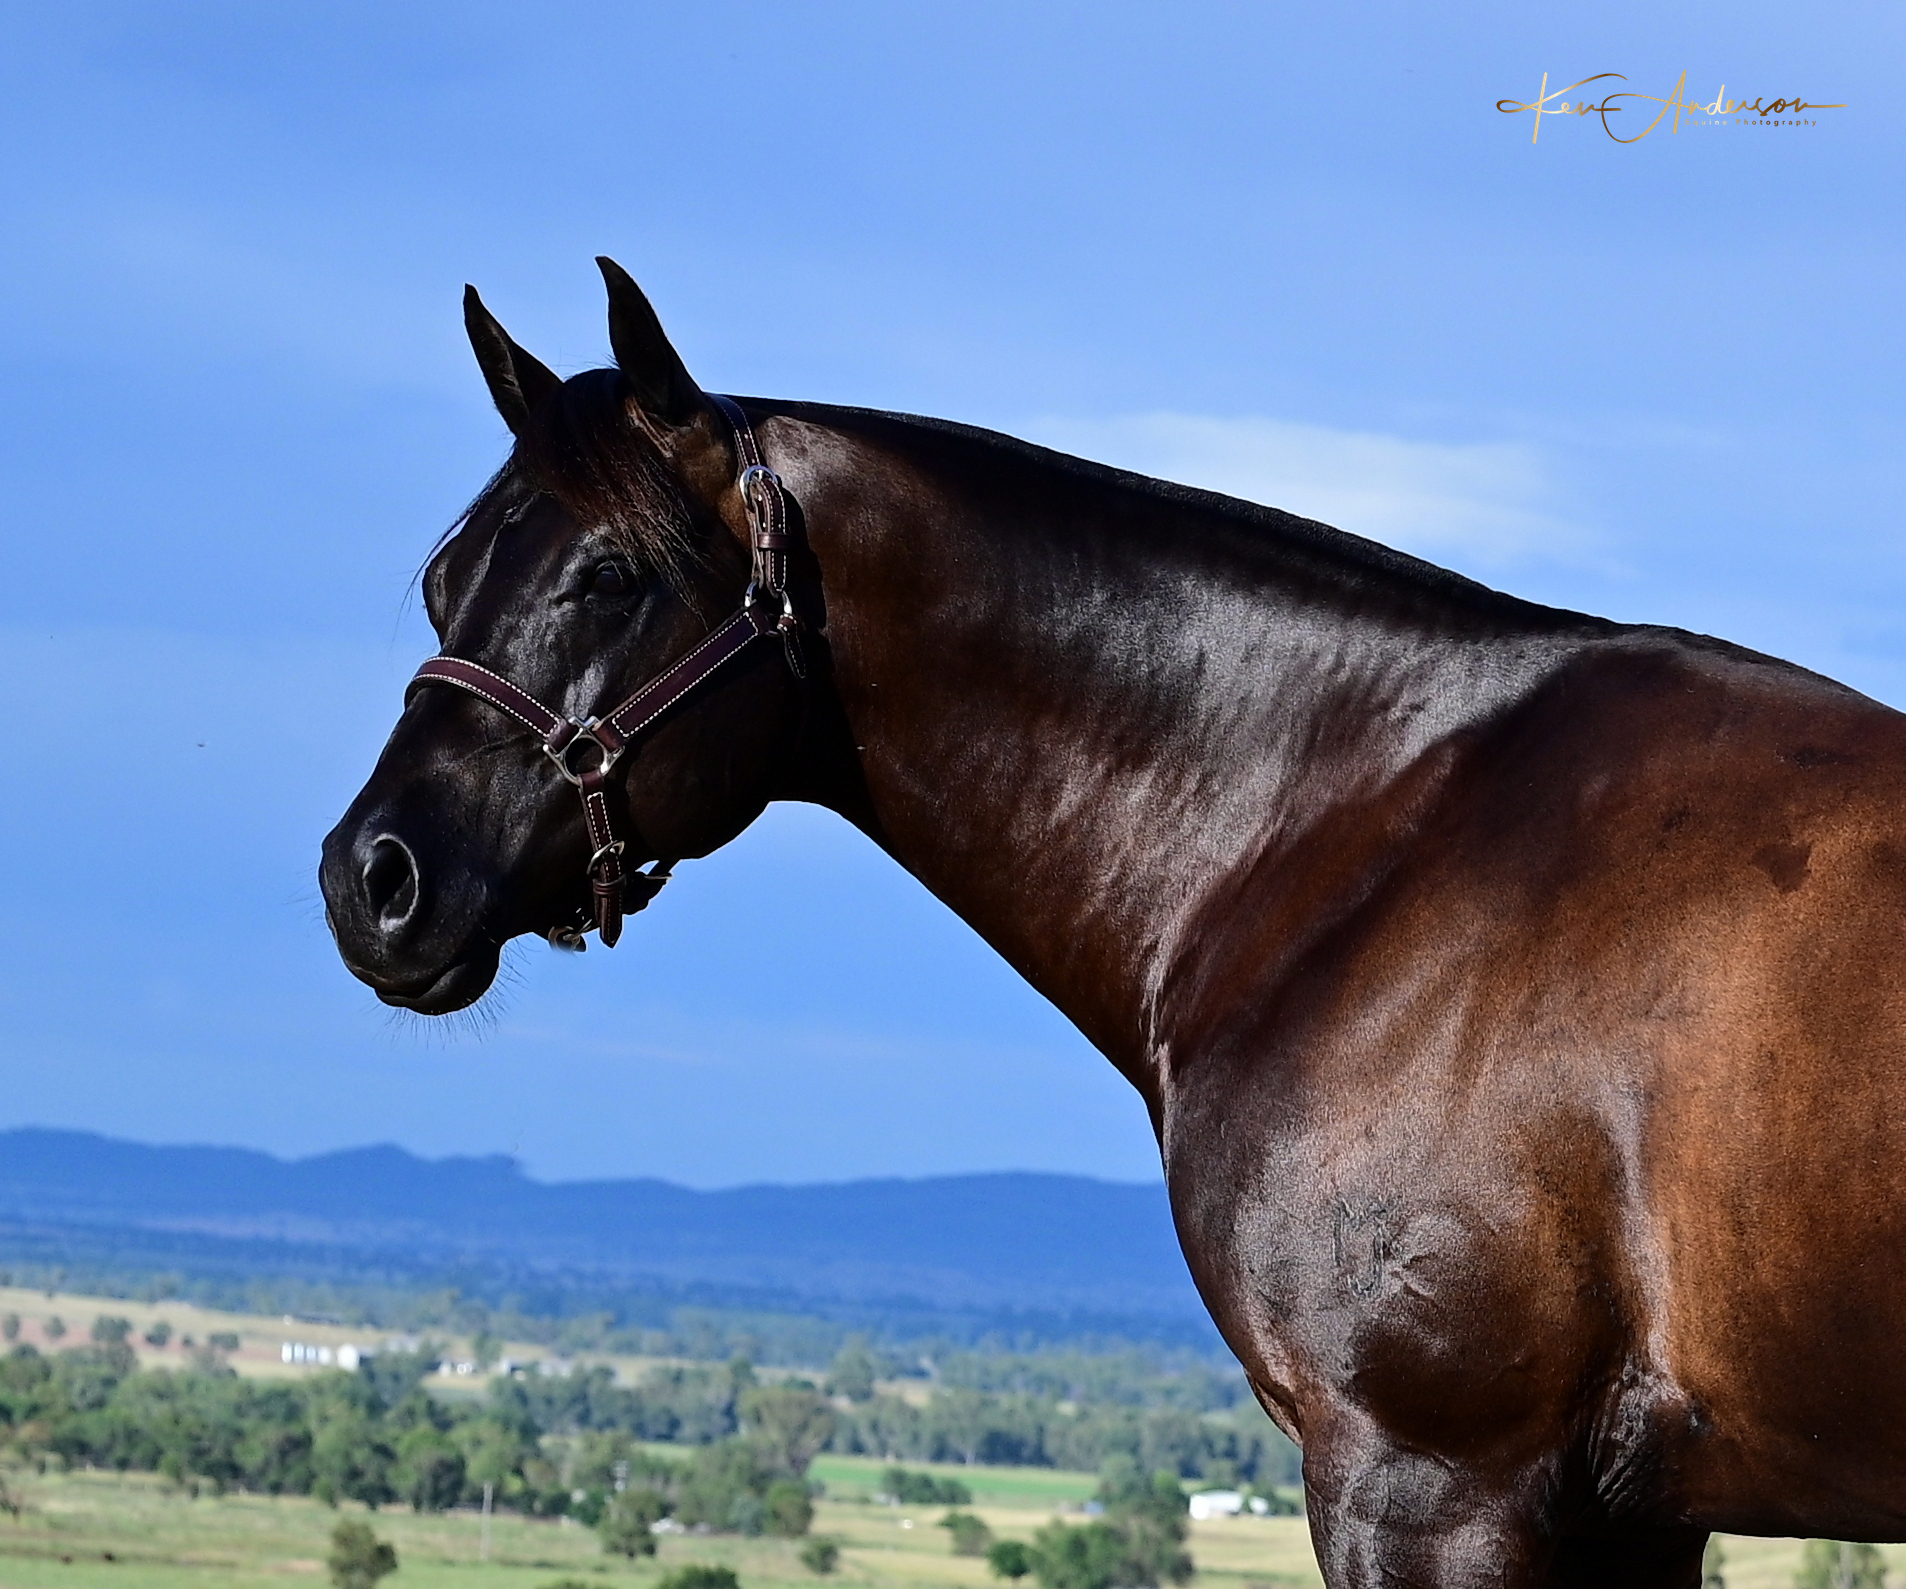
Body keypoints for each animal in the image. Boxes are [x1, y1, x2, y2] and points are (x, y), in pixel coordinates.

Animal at [321, 259, 1906, 1587]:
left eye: (610, 575)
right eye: (443, 579)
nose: (372, 876)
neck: (1371, 830)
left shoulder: (1435, 1484)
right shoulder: (1624, 1516)